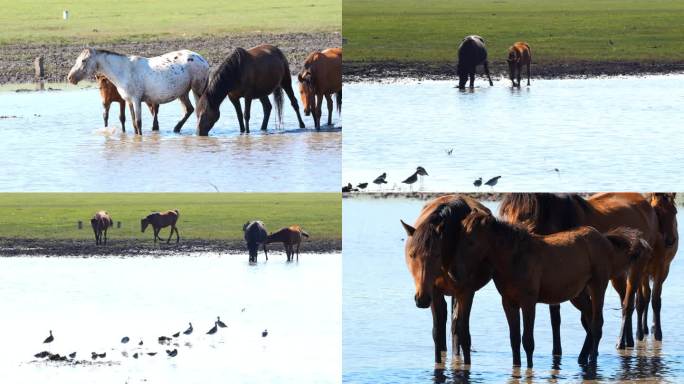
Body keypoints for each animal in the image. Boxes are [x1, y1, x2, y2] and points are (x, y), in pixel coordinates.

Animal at [69, 48, 210, 135]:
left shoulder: (136, 100)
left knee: (198, 111)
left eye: (83, 60)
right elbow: (133, 123)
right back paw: (176, 129)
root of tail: (203, 60)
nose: (70, 78)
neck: (124, 70)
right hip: (183, 92)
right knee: (188, 110)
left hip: (197, 90)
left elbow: (138, 122)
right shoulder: (129, 101)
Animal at [398, 196, 494, 364]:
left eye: (436, 254)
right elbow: (437, 333)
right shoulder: (434, 292)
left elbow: (464, 334)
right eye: (411, 254)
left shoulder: (466, 293)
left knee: (456, 328)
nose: (421, 299)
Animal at [452, 208, 648, 368]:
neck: (515, 258)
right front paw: (516, 368)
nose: (456, 273)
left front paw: (529, 369)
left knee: (597, 323)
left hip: (598, 285)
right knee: (589, 320)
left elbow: (527, 341)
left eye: (471, 241)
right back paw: (582, 358)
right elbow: (514, 340)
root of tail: (604, 239)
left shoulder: (528, 302)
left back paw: (592, 362)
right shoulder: (508, 303)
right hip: (578, 294)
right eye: (459, 237)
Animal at [500, 194, 664, 352]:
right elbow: (556, 316)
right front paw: (557, 351)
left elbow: (587, 318)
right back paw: (627, 341)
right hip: (618, 275)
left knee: (628, 304)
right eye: (506, 213)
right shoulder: (556, 279)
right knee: (625, 299)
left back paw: (622, 342)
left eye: (528, 213)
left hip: (636, 268)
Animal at [640, 194, 680, 340]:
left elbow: (656, 300)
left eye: (675, 211)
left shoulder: (661, 267)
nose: (670, 240)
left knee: (654, 296)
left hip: (664, 272)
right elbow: (643, 299)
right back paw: (644, 328)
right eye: (656, 212)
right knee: (645, 296)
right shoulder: (643, 270)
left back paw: (651, 327)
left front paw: (658, 332)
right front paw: (640, 332)